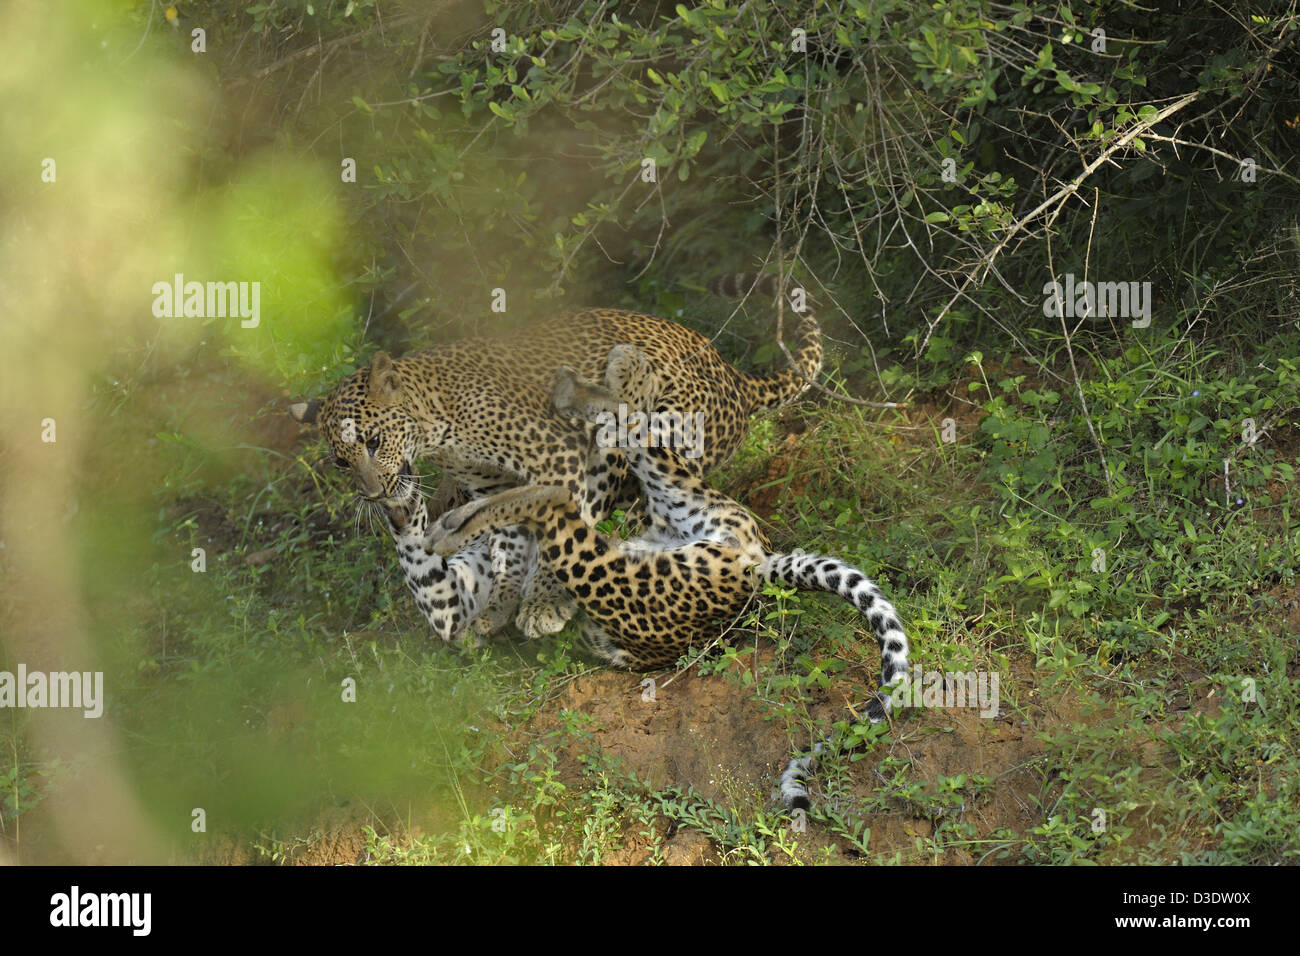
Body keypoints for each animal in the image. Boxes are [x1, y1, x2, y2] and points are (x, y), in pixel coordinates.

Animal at [296, 274, 821, 642]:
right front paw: (499, 605)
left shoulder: (556, 456)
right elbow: (506, 543)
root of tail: (736, 376)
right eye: (341, 462)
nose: (373, 494)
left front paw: (544, 602)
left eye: (372, 442)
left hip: (656, 432)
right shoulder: (491, 484)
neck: (434, 427)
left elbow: (553, 533)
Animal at [390, 340, 909, 811]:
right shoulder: (451, 602)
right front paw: (408, 505)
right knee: (626, 441)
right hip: (677, 498)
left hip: (614, 574)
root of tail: (759, 563)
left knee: (569, 488)